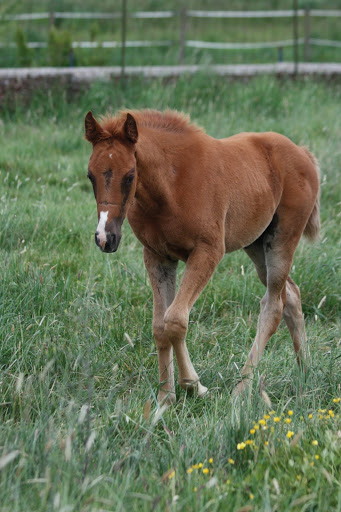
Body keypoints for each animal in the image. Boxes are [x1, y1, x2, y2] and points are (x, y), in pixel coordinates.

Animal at [85, 109, 318, 404]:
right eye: (90, 176)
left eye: (129, 176)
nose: (105, 238)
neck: (170, 186)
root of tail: (302, 153)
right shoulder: (157, 256)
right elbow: (160, 326)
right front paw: (165, 397)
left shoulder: (208, 252)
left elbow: (175, 320)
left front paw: (194, 386)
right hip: (256, 244)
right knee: (292, 294)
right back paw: (305, 372)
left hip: (282, 239)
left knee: (274, 304)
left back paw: (241, 389)